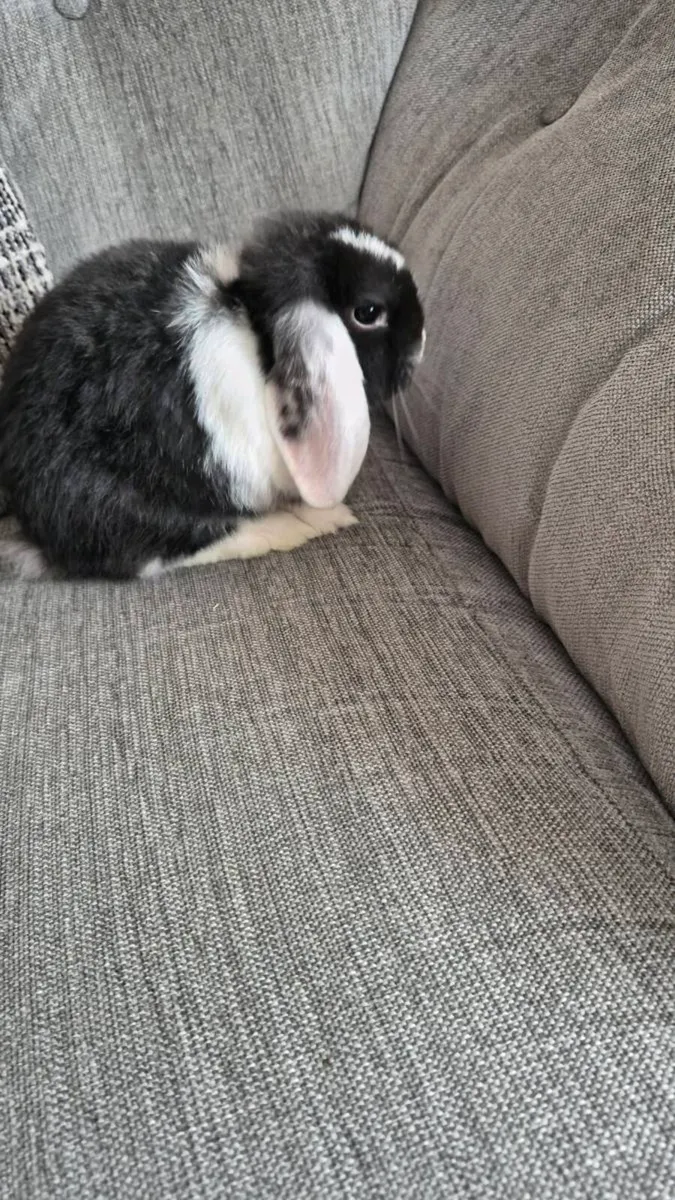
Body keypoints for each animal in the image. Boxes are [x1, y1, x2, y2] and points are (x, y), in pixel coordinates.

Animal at [0, 211, 425, 580]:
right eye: (368, 312)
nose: (421, 340)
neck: (259, 335)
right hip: (122, 508)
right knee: (172, 551)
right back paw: (306, 525)